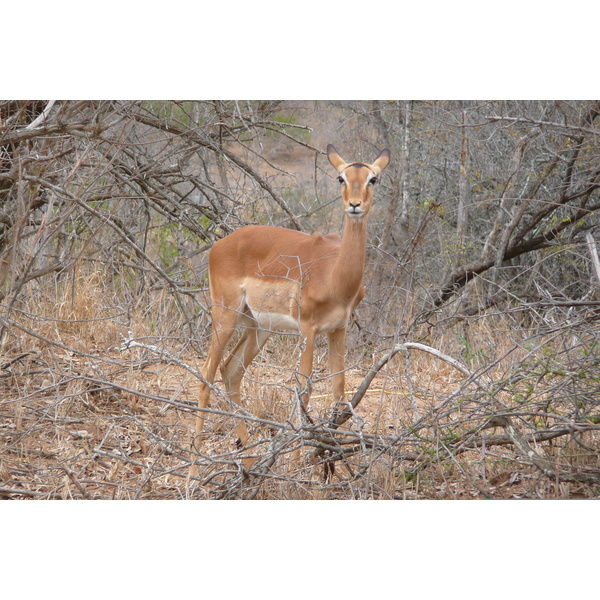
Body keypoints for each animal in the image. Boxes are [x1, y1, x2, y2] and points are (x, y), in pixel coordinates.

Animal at [196, 144, 394, 460]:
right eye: (340, 177)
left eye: (373, 179)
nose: (354, 205)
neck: (335, 275)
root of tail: (219, 245)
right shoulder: (308, 331)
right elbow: (304, 392)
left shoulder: (338, 329)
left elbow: (339, 389)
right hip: (225, 316)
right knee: (207, 374)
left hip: (258, 327)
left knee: (231, 371)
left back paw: (249, 462)